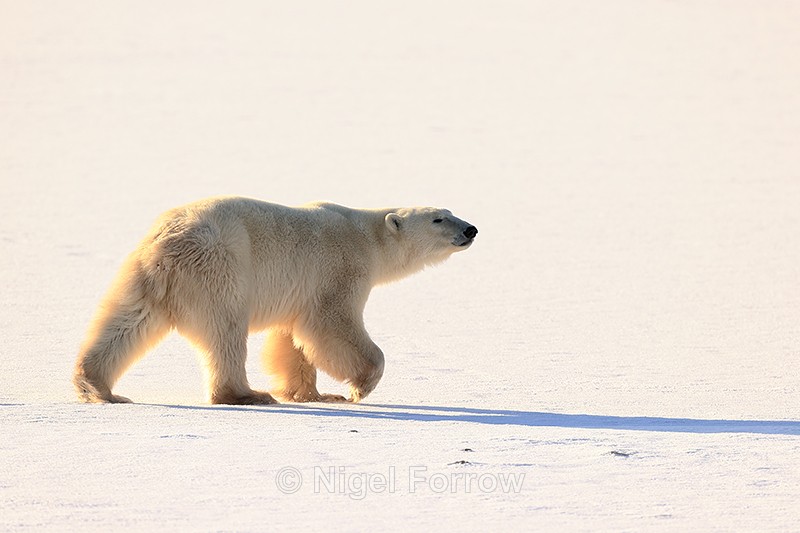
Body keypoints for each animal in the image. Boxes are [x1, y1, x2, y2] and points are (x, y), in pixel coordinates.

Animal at [73, 196, 477, 405]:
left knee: (126, 323)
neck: (366, 235)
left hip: (147, 278)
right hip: (221, 268)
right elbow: (332, 324)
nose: (471, 229)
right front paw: (358, 387)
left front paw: (312, 394)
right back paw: (247, 394)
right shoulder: (340, 268)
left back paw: (97, 387)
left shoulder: (300, 290)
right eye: (438, 218)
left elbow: (294, 338)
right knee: (227, 331)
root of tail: (167, 245)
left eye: (450, 210)